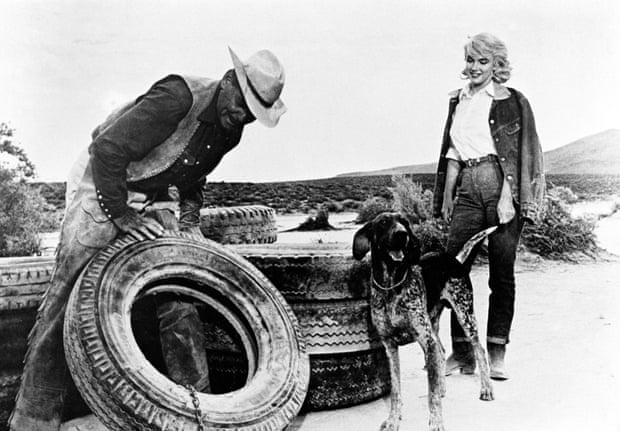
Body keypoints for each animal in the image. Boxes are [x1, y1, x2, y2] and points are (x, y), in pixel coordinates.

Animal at [354, 213, 494, 431]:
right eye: (383, 222)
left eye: (404, 222)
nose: (402, 234)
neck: (391, 286)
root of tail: (455, 260)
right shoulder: (390, 347)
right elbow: (395, 390)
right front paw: (393, 419)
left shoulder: (426, 341)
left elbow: (431, 397)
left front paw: (436, 422)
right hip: (433, 325)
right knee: (442, 352)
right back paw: (442, 388)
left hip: (465, 316)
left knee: (479, 349)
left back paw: (486, 388)